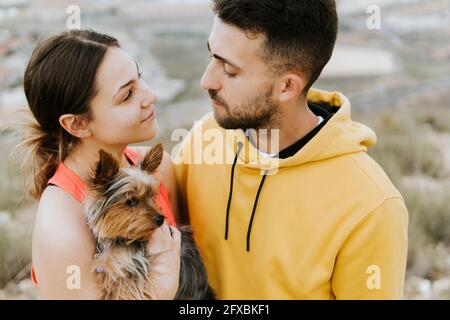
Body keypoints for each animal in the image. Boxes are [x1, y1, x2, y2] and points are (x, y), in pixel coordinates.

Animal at [86, 144, 216, 300]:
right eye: (131, 201)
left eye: (152, 195)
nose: (160, 219)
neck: (123, 240)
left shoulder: (135, 268)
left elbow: (125, 289)